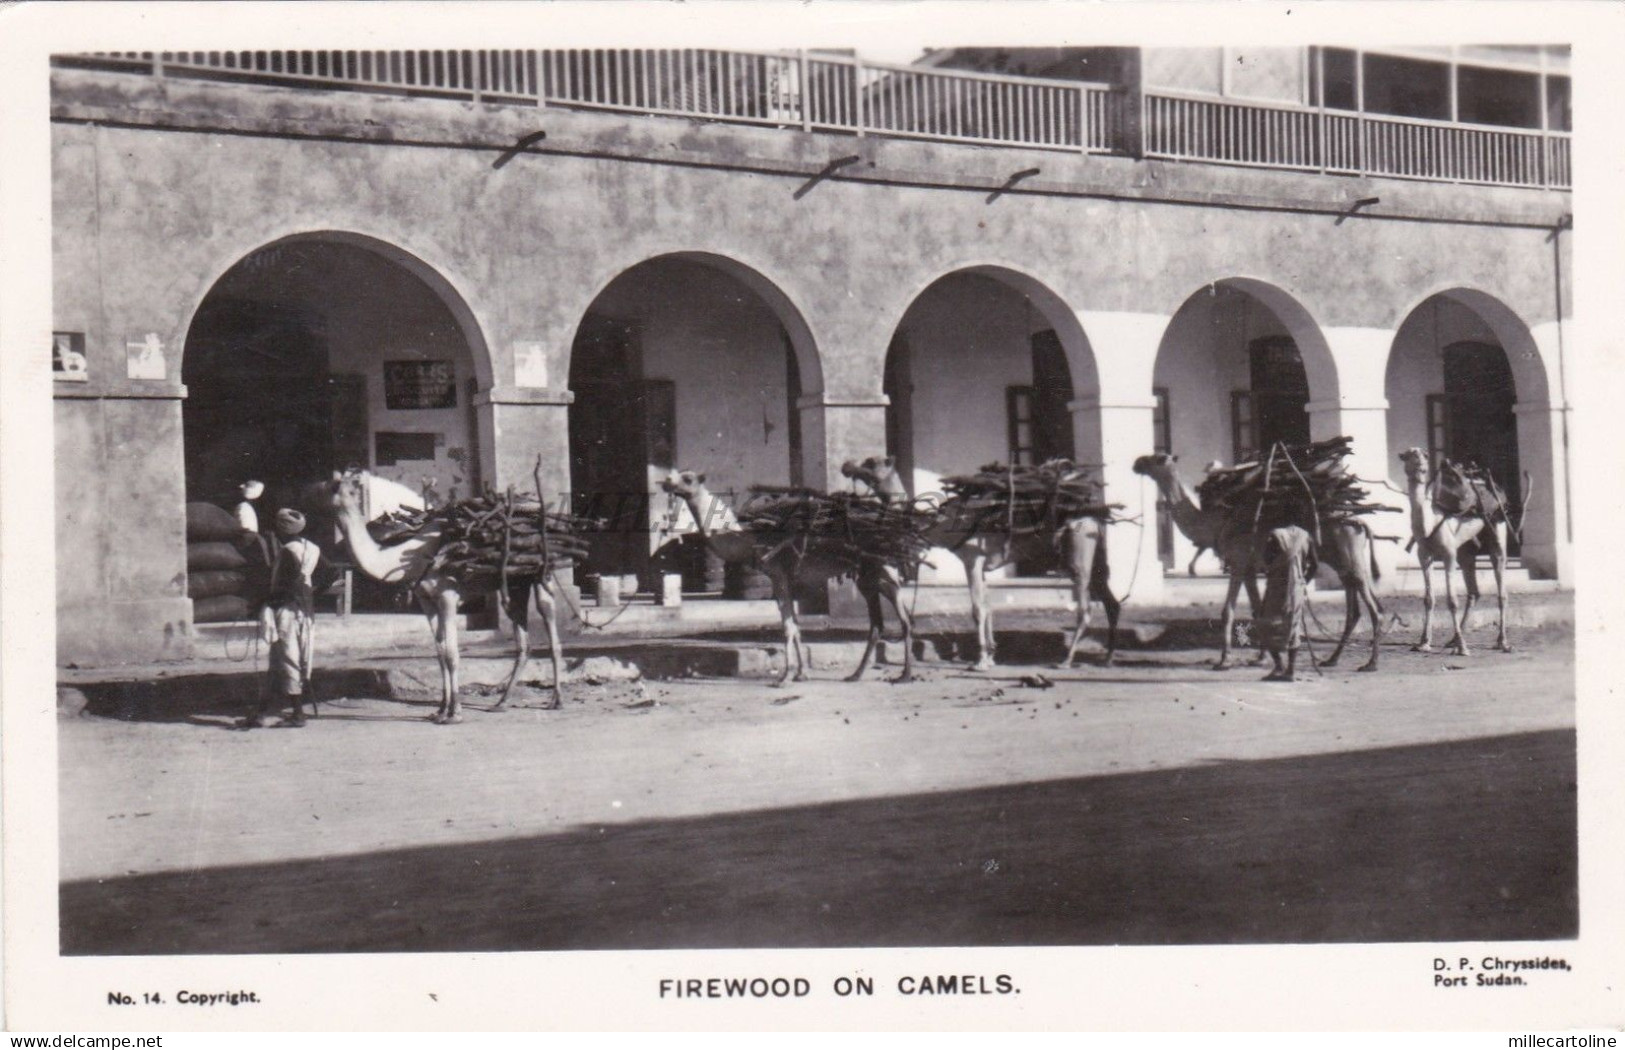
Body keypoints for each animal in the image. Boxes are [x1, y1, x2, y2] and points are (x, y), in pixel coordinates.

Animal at [326, 471, 568, 724]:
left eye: (351, 489)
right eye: (332, 486)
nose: (334, 498)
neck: (411, 557)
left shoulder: (448, 596)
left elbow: (452, 654)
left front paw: (455, 713)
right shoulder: (427, 600)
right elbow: (440, 652)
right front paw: (441, 710)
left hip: (542, 575)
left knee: (550, 626)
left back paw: (556, 700)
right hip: (514, 584)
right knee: (522, 640)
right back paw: (501, 703)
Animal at [656, 471, 916, 685]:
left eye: (688, 478)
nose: (666, 481)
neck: (747, 540)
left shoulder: (777, 575)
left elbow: (787, 627)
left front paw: (783, 677)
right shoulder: (788, 579)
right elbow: (796, 625)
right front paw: (801, 673)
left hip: (883, 570)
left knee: (904, 618)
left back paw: (905, 675)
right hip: (867, 576)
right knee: (878, 623)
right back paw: (856, 675)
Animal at [838, 455, 1118, 669]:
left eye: (871, 462)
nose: (846, 465)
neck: (941, 524)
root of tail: (1094, 517)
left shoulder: (971, 559)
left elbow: (977, 609)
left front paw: (980, 661)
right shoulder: (982, 566)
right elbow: (988, 606)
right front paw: (990, 655)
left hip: (1079, 553)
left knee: (1085, 609)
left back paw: (1065, 661)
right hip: (1095, 558)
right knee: (1111, 602)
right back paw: (1107, 659)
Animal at [1131, 451, 1384, 676]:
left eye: (1158, 458)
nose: (1137, 463)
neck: (1215, 523)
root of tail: (1359, 522)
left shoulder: (1238, 563)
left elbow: (1228, 611)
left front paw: (1224, 661)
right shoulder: (1250, 568)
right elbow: (1257, 610)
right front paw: (1261, 658)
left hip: (1349, 555)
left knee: (1374, 609)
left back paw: (1370, 664)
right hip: (1344, 561)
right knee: (1355, 609)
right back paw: (1332, 659)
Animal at [1391, 451, 1514, 656]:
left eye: (1424, 455)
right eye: (1407, 455)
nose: (1420, 465)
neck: (1430, 522)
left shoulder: (1448, 554)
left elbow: (1452, 600)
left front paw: (1463, 647)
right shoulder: (1424, 555)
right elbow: (1428, 599)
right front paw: (1423, 642)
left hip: (1497, 528)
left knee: (1501, 588)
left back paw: (1502, 642)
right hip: (1466, 549)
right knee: (1474, 591)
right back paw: (1452, 640)